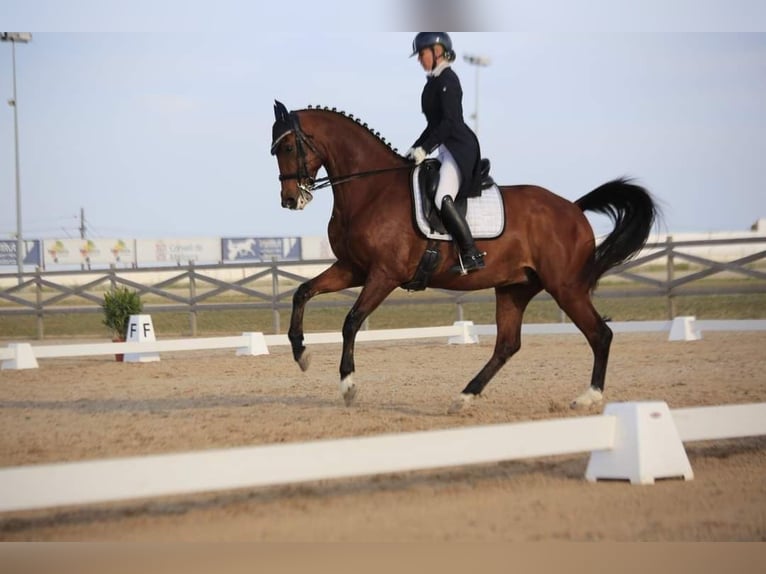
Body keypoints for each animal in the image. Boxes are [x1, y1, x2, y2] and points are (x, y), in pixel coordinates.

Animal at [270, 100, 660, 414]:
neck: (370, 190)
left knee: (600, 334)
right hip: (515, 288)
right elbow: (302, 292)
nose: (290, 200)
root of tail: (574, 209)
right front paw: (301, 353)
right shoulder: (353, 269)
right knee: (507, 345)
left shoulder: (384, 274)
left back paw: (588, 397)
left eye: (287, 146)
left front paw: (348, 385)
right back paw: (464, 397)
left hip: (566, 287)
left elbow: (351, 321)